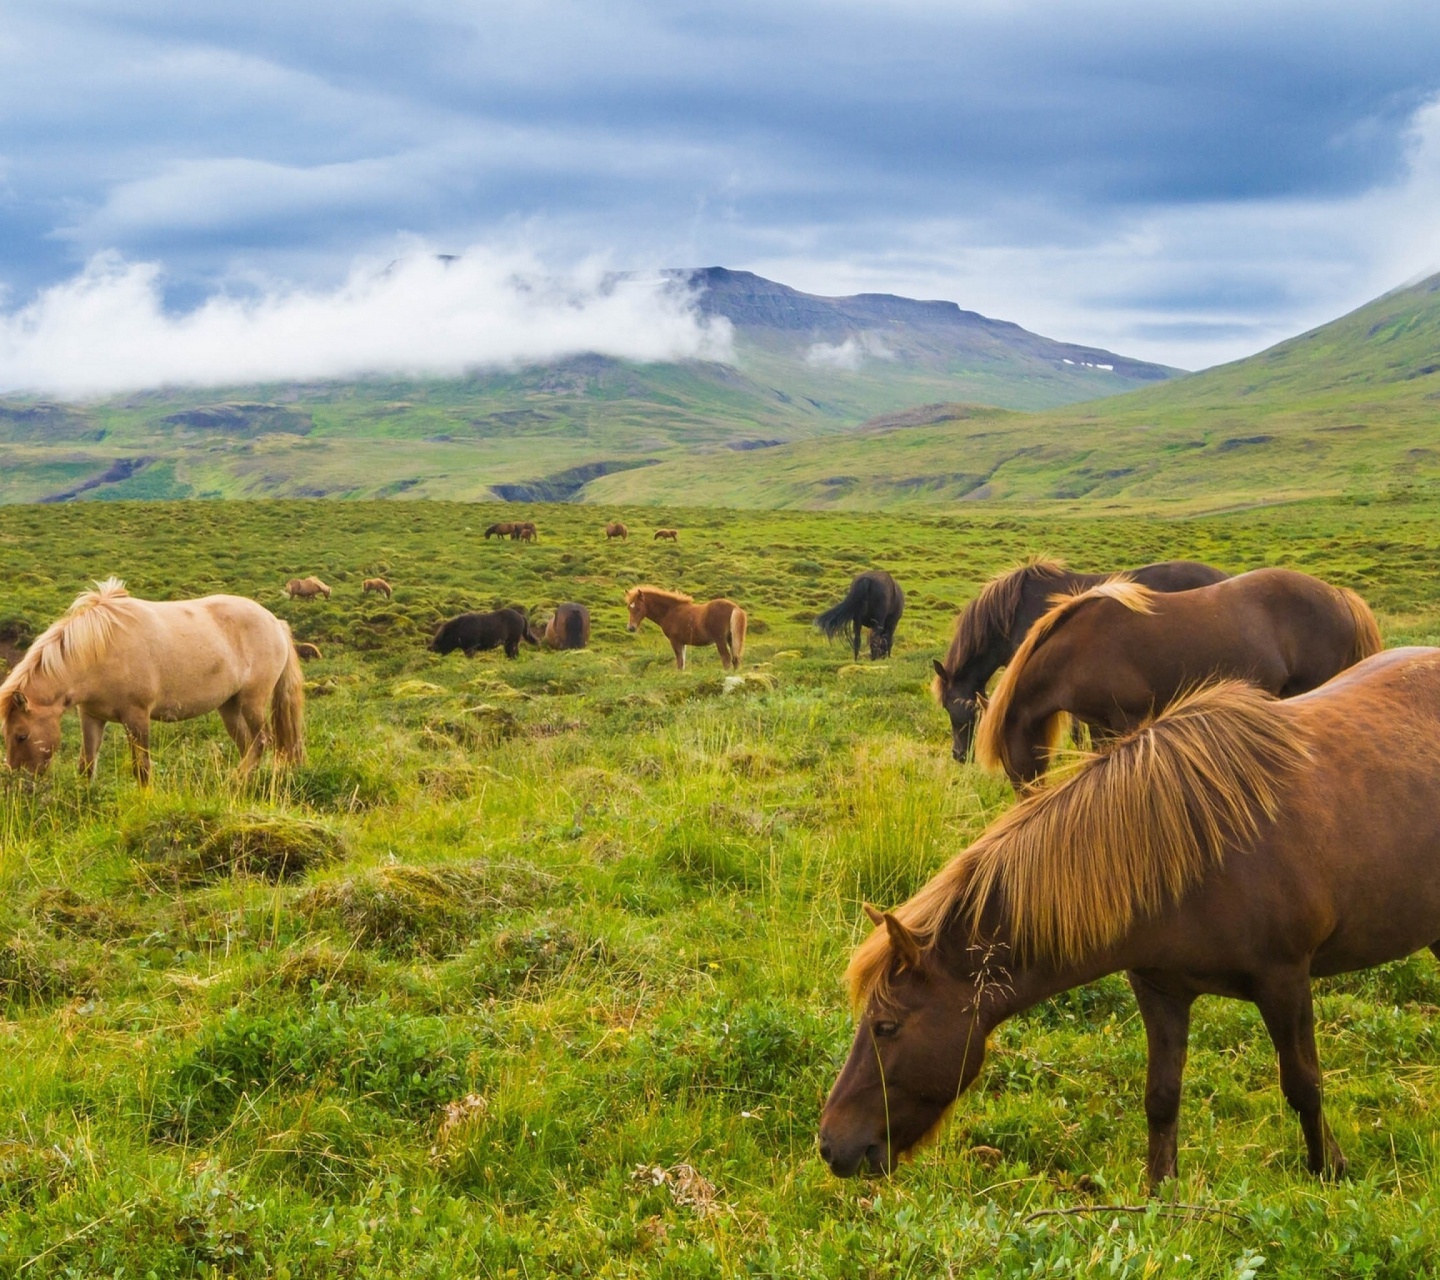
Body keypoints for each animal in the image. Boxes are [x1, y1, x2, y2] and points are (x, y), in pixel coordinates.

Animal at [2, 575, 306, 777]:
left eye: (21, 735)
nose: (20, 782)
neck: (99, 651)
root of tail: (274, 621)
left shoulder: (136, 717)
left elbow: (142, 769)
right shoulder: (91, 716)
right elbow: (86, 765)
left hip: (251, 702)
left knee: (262, 742)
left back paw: (234, 784)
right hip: (229, 706)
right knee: (249, 746)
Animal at [823, 647, 1440, 1186]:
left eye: (885, 1026)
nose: (831, 1145)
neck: (1196, 848)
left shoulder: (1285, 981)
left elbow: (1303, 1084)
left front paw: (1327, 1168)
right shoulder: (1159, 989)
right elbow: (1161, 1097)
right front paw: (1160, 1190)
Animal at [973, 570, 1376, 789]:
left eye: (1004, 753)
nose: (1024, 796)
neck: (1077, 649)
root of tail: (1340, 596)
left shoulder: (1128, 720)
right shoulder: (1099, 725)